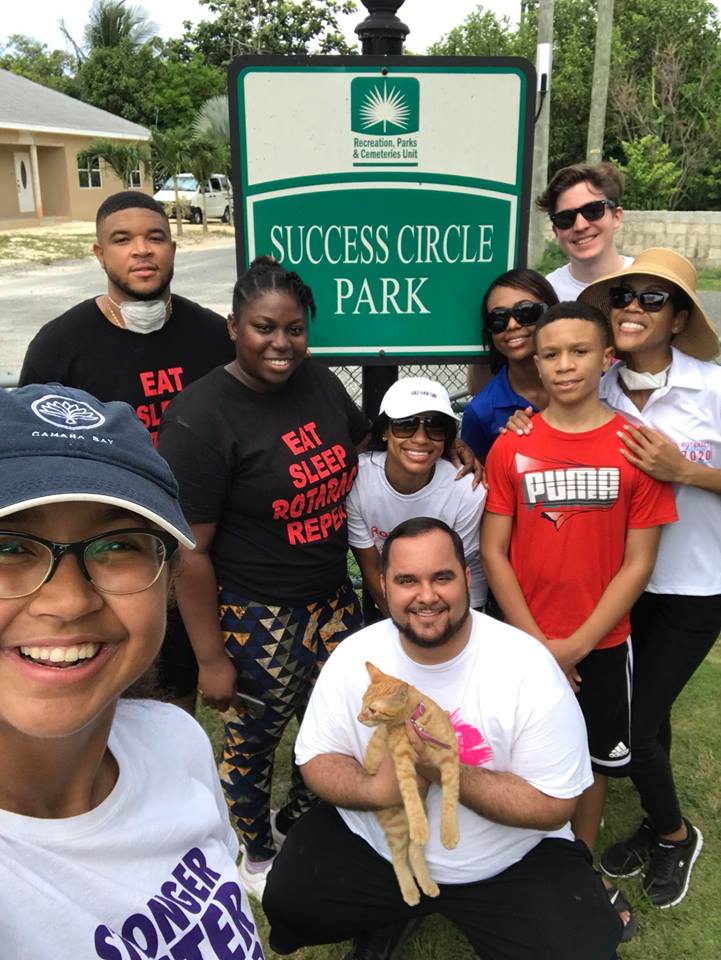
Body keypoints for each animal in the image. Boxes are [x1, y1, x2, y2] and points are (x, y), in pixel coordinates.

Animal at [357, 661, 460, 906]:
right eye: (362, 703)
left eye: (372, 709)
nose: (359, 717)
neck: (416, 722)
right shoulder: (402, 764)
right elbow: (410, 796)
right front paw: (421, 826)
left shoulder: (450, 760)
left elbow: (450, 800)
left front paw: (448, 833)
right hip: (396, 824)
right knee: (397, 857)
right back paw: (410, 890)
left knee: (414, 852)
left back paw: (427, 884)